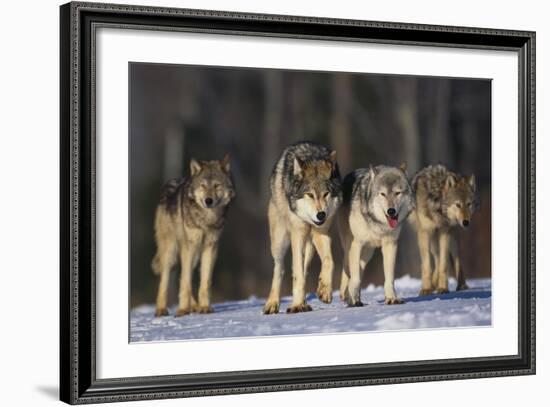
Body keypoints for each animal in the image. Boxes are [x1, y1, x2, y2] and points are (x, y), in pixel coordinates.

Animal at [152, 156, 236, 318]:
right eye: (203, 186)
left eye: (216, 185)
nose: (208, 200)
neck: (207, 219)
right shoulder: (189, 247)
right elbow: (185, 281)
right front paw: (182, 310)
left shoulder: (210, 247)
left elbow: (204, 281)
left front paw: (204, 307)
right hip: (171, 251)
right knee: (165, 280)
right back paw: (161, 310)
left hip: (195, 254)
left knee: (184, 275)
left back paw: (195, 306)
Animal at [266, 142, 342, 314]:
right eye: (310, 195)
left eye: (326, 194)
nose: (321, 215)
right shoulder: (298, 234)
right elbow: (297, 274)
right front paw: (296, 305)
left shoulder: (321, 232)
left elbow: (329, 261)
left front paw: (324, 290)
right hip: (279, 242)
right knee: (280, 268)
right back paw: (273, 304)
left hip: (310, 246)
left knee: (303, 269)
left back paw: (303, 303)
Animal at [336, 164, 414, 308]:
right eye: (382, 194)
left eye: (397, 193)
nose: (391, 211)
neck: (378, 224)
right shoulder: (357, 244)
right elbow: (355, 278)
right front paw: (352, 298)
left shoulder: (391, 245)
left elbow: (389, 278)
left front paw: (392, 298)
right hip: (351, 246)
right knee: (347, 267)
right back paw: (347, 295)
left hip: (368, 253)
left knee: (359, 269)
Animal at [412, 164, 480, 294]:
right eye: (458, 205)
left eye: (469, 204)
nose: (466, 222)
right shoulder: (424, 233)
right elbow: (428, 265)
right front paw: (426, 289)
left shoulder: (445, 232)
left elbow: (444, 264)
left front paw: (443, 288)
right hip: (433, 239)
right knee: (436, 259)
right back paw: (434, 284)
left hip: (452, 237)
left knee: (456, 260)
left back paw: (461, 286)